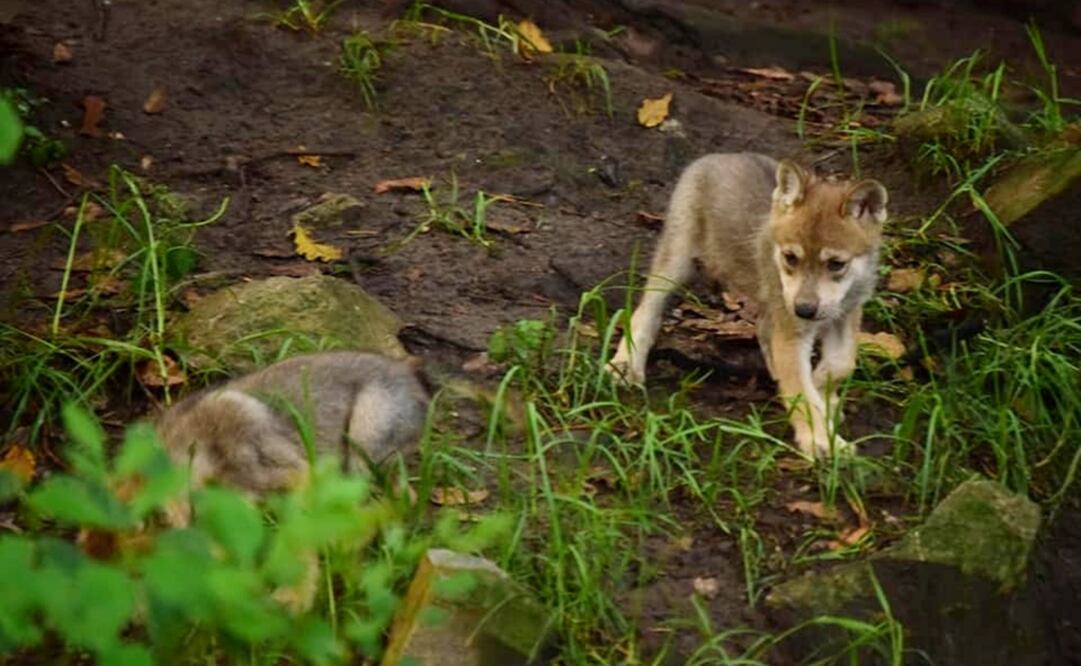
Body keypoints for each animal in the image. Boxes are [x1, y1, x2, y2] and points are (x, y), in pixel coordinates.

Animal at [608, 153, 888, 457]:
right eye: (791, 257)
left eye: (836, 264)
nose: (803, 310)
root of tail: (715, 157)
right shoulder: (791, 330)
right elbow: (800, 390)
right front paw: (820, 440)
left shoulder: (845, 315)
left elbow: (841, 364)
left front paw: (824, 398)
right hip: (676, 261)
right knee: (645, 309)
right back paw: (625, 365)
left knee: (763, 329)